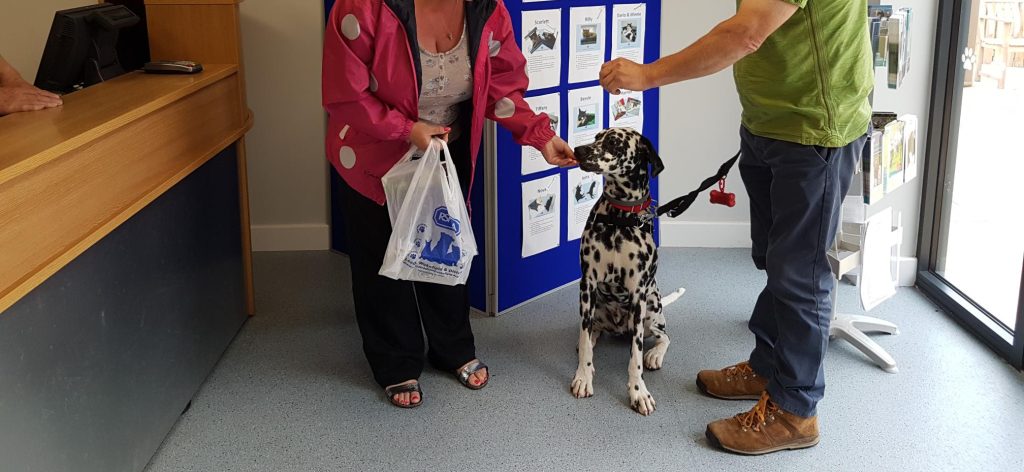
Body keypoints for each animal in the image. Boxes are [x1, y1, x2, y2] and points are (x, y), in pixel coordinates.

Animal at [569, 126, 679, 413]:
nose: (578, 150)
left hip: (651, 309)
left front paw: (638, 392)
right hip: (595, 307)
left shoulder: (638, 294)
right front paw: (583, 377)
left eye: (614, 143)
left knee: (663, 337)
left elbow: (635, 358)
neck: (619, 217)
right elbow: (584, 341)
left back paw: (654, 354)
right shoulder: (587, 285)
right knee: (589, 333)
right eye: (596, 137)